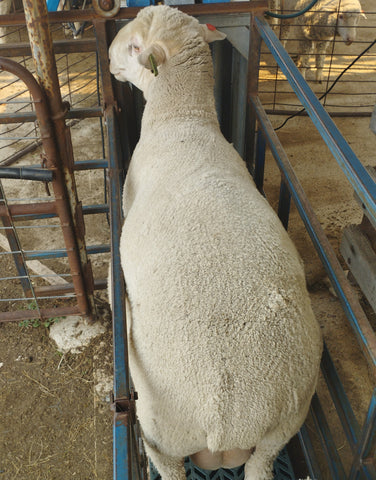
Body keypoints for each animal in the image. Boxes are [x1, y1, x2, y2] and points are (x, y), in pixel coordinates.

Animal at [107, 4, 322, 480]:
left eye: (134, 47)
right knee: (263, 462)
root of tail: (227, 419)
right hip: (281, 429)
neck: (182, 119)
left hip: (161, 435)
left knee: (166, 462)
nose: (110, 59)